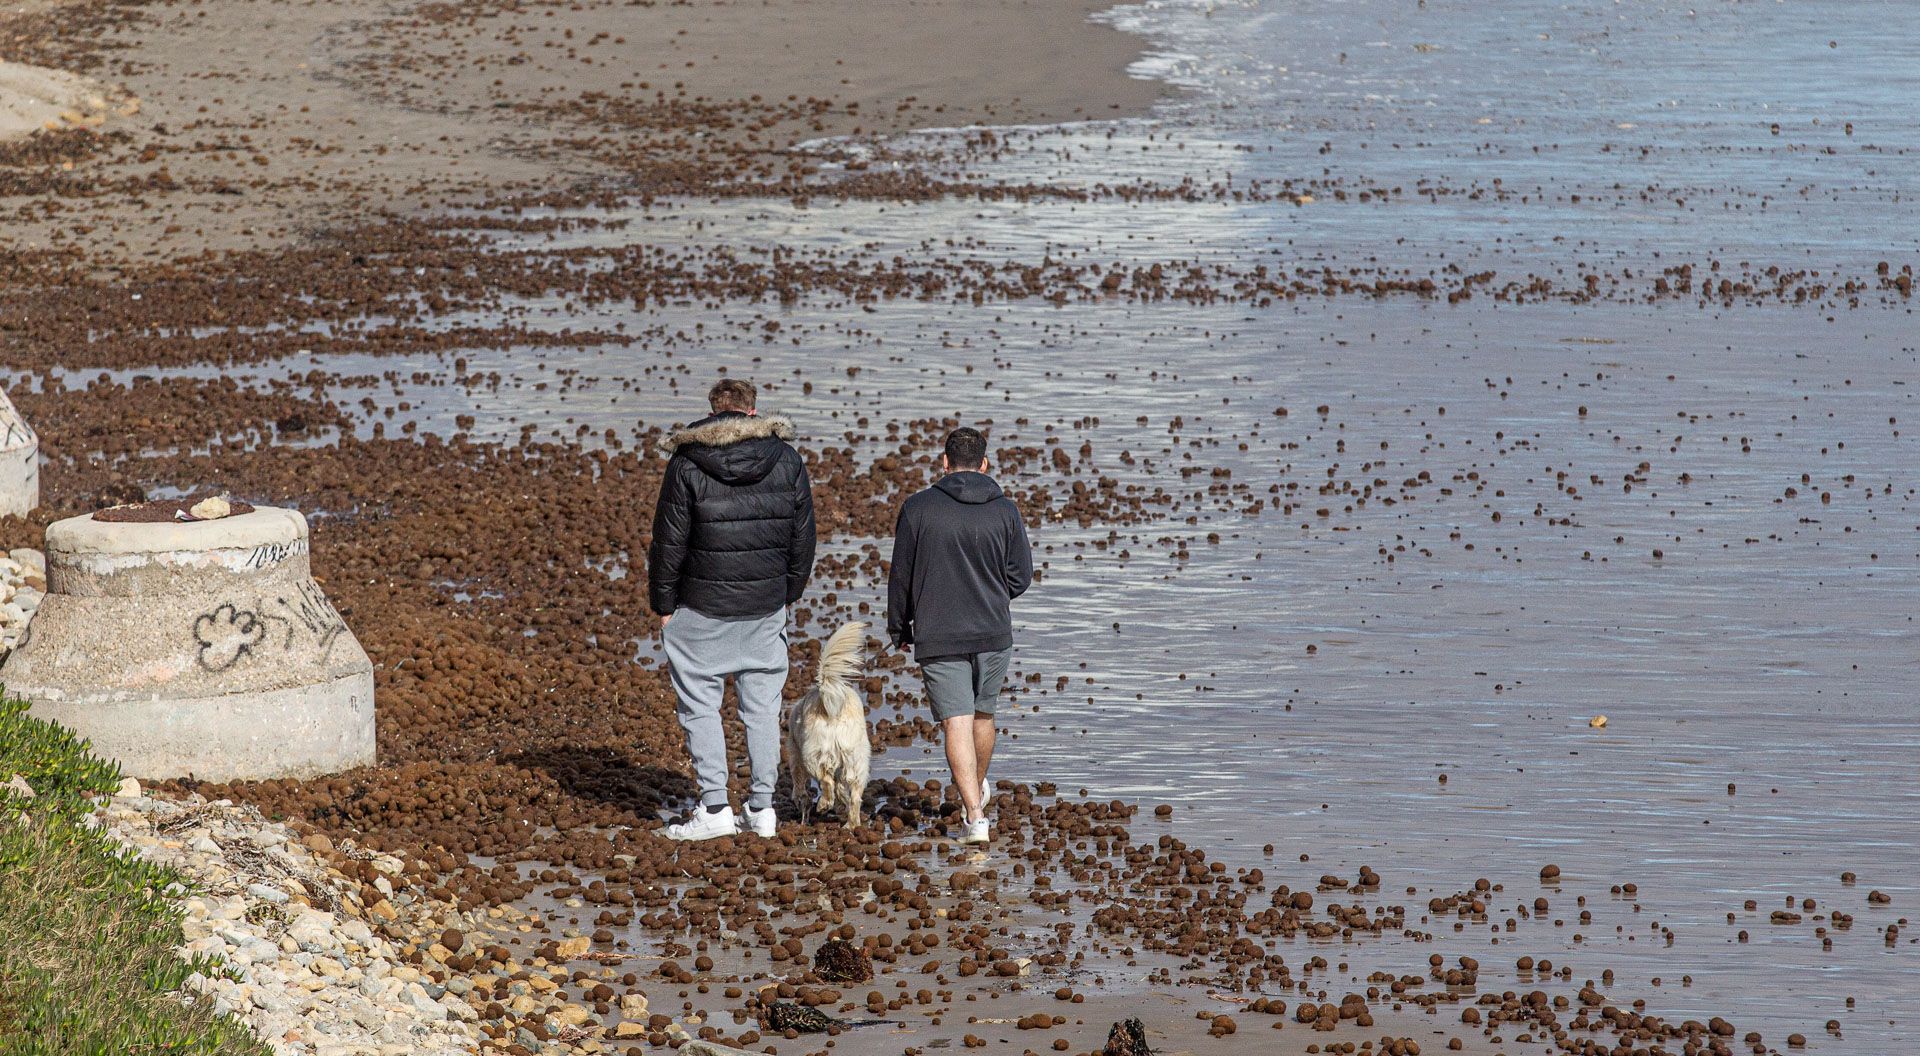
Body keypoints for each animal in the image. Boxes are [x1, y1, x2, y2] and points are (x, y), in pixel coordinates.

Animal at [783, 625, 875, 833]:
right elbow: (842, 790)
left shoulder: (796, 756)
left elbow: (802, 784)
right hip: (857, 758)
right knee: (855, 796)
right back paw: (851, 824)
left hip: (813, 753)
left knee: (825, 779)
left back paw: (824, 804)